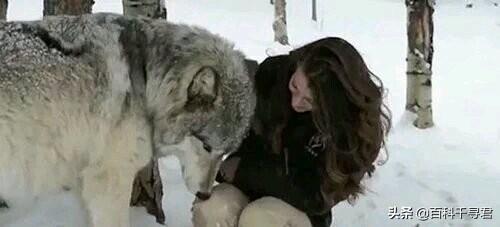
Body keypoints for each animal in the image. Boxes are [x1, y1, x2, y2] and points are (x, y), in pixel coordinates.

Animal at [0, 12, 256, 227]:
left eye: (225, 153)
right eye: (206, 146)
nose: (205, 194)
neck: (147, 79)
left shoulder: (85, 178)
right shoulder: (109, 179)